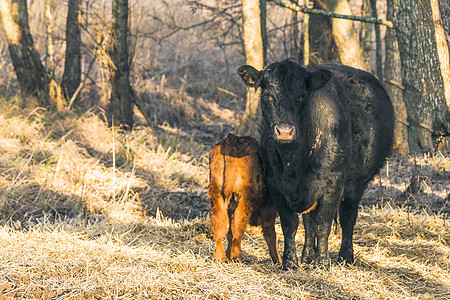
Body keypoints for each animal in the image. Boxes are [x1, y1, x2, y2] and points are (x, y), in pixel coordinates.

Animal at [209, 133, 280, 262]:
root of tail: (232, 140)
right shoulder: (269, 210)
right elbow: (271, 235)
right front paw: (278, 260)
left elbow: (229, 233)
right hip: (243, 199)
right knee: (237, 227)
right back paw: (235, 258)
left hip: (217, 194)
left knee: (219, 225)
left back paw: (219, 257)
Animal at [239, 59, 394, 270]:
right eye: (267, 95)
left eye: (302, 95)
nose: (285, 131)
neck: (293, 162)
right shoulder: (275, 183)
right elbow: (291, 224)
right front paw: (290, 262)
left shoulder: (333, 182)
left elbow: (323, 223)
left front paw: (322, 263)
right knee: (308, 220)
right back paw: (307, 256)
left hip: (357, 182)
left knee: (348, 216)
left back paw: (345, 257)